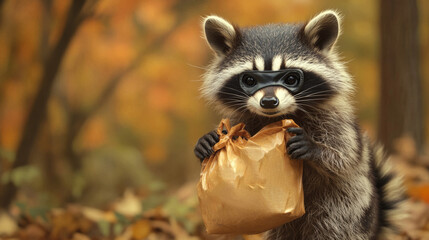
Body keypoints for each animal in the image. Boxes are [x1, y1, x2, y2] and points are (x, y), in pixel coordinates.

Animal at [194, 10, 404, 240]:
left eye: (291, 78)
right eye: (249, 80)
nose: (269, 102)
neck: (278, 115)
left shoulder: (334, 119)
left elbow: (343, 155)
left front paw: (315, 148)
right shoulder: (247, 118)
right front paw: (210, 140)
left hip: (347, 201)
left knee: (334, 227)